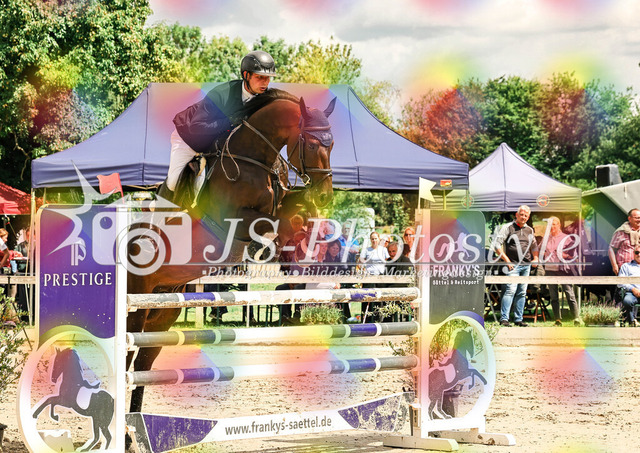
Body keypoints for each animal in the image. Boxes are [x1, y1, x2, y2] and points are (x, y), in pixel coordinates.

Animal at [125, 91, 337, 419]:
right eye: (312, 144)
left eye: (332, 143)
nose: (326, 195)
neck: (253, 159)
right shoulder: (230, 222)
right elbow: (279, 221)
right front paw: (270, 244)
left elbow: (297, 211)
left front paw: (306, 229)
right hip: (135, 308)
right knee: (126, 358)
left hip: (164, 309)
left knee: (143, 363)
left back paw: (134, 425)